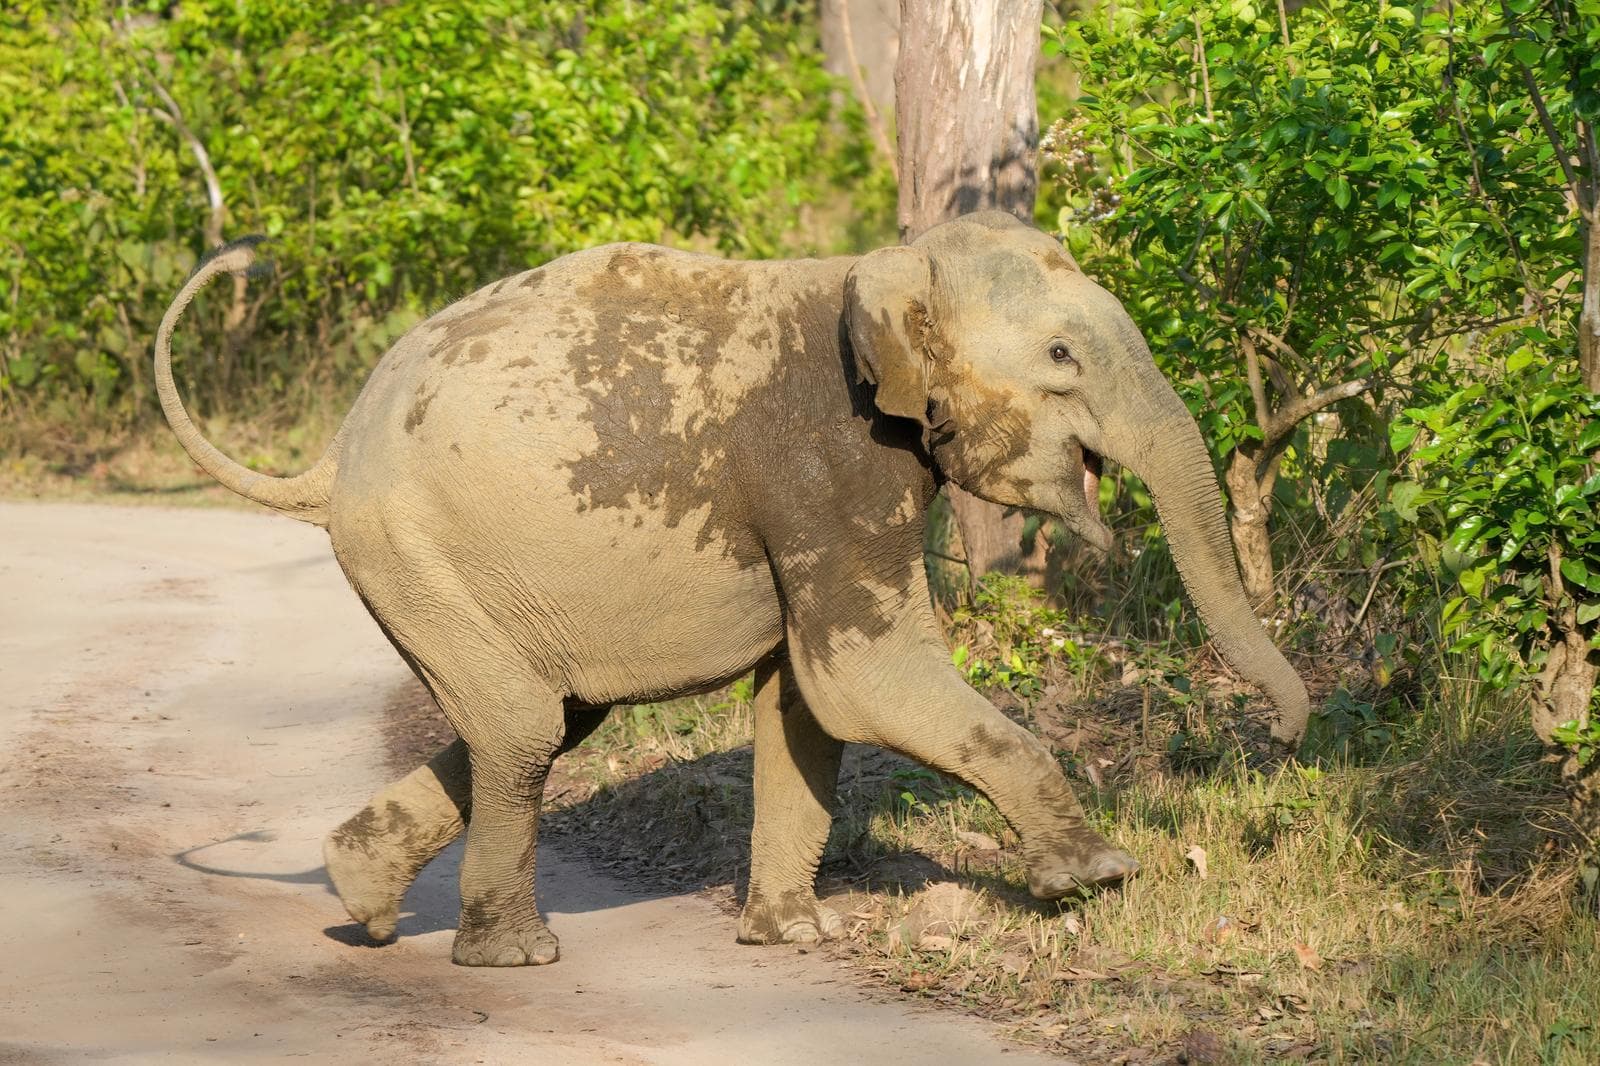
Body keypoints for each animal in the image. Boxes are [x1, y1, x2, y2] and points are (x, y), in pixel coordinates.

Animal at [154, 212, 1310, 967]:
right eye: (1062, 354)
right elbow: (863, 679)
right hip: (417, 554)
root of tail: (327, 461)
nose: (1292, 738)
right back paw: (513, 955)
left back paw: (361, 898)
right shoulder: (826, 466)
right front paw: (1097, 877)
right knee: (526, 729)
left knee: (546, 721)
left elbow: (805, 704)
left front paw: (791, 936)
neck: (878, 268)